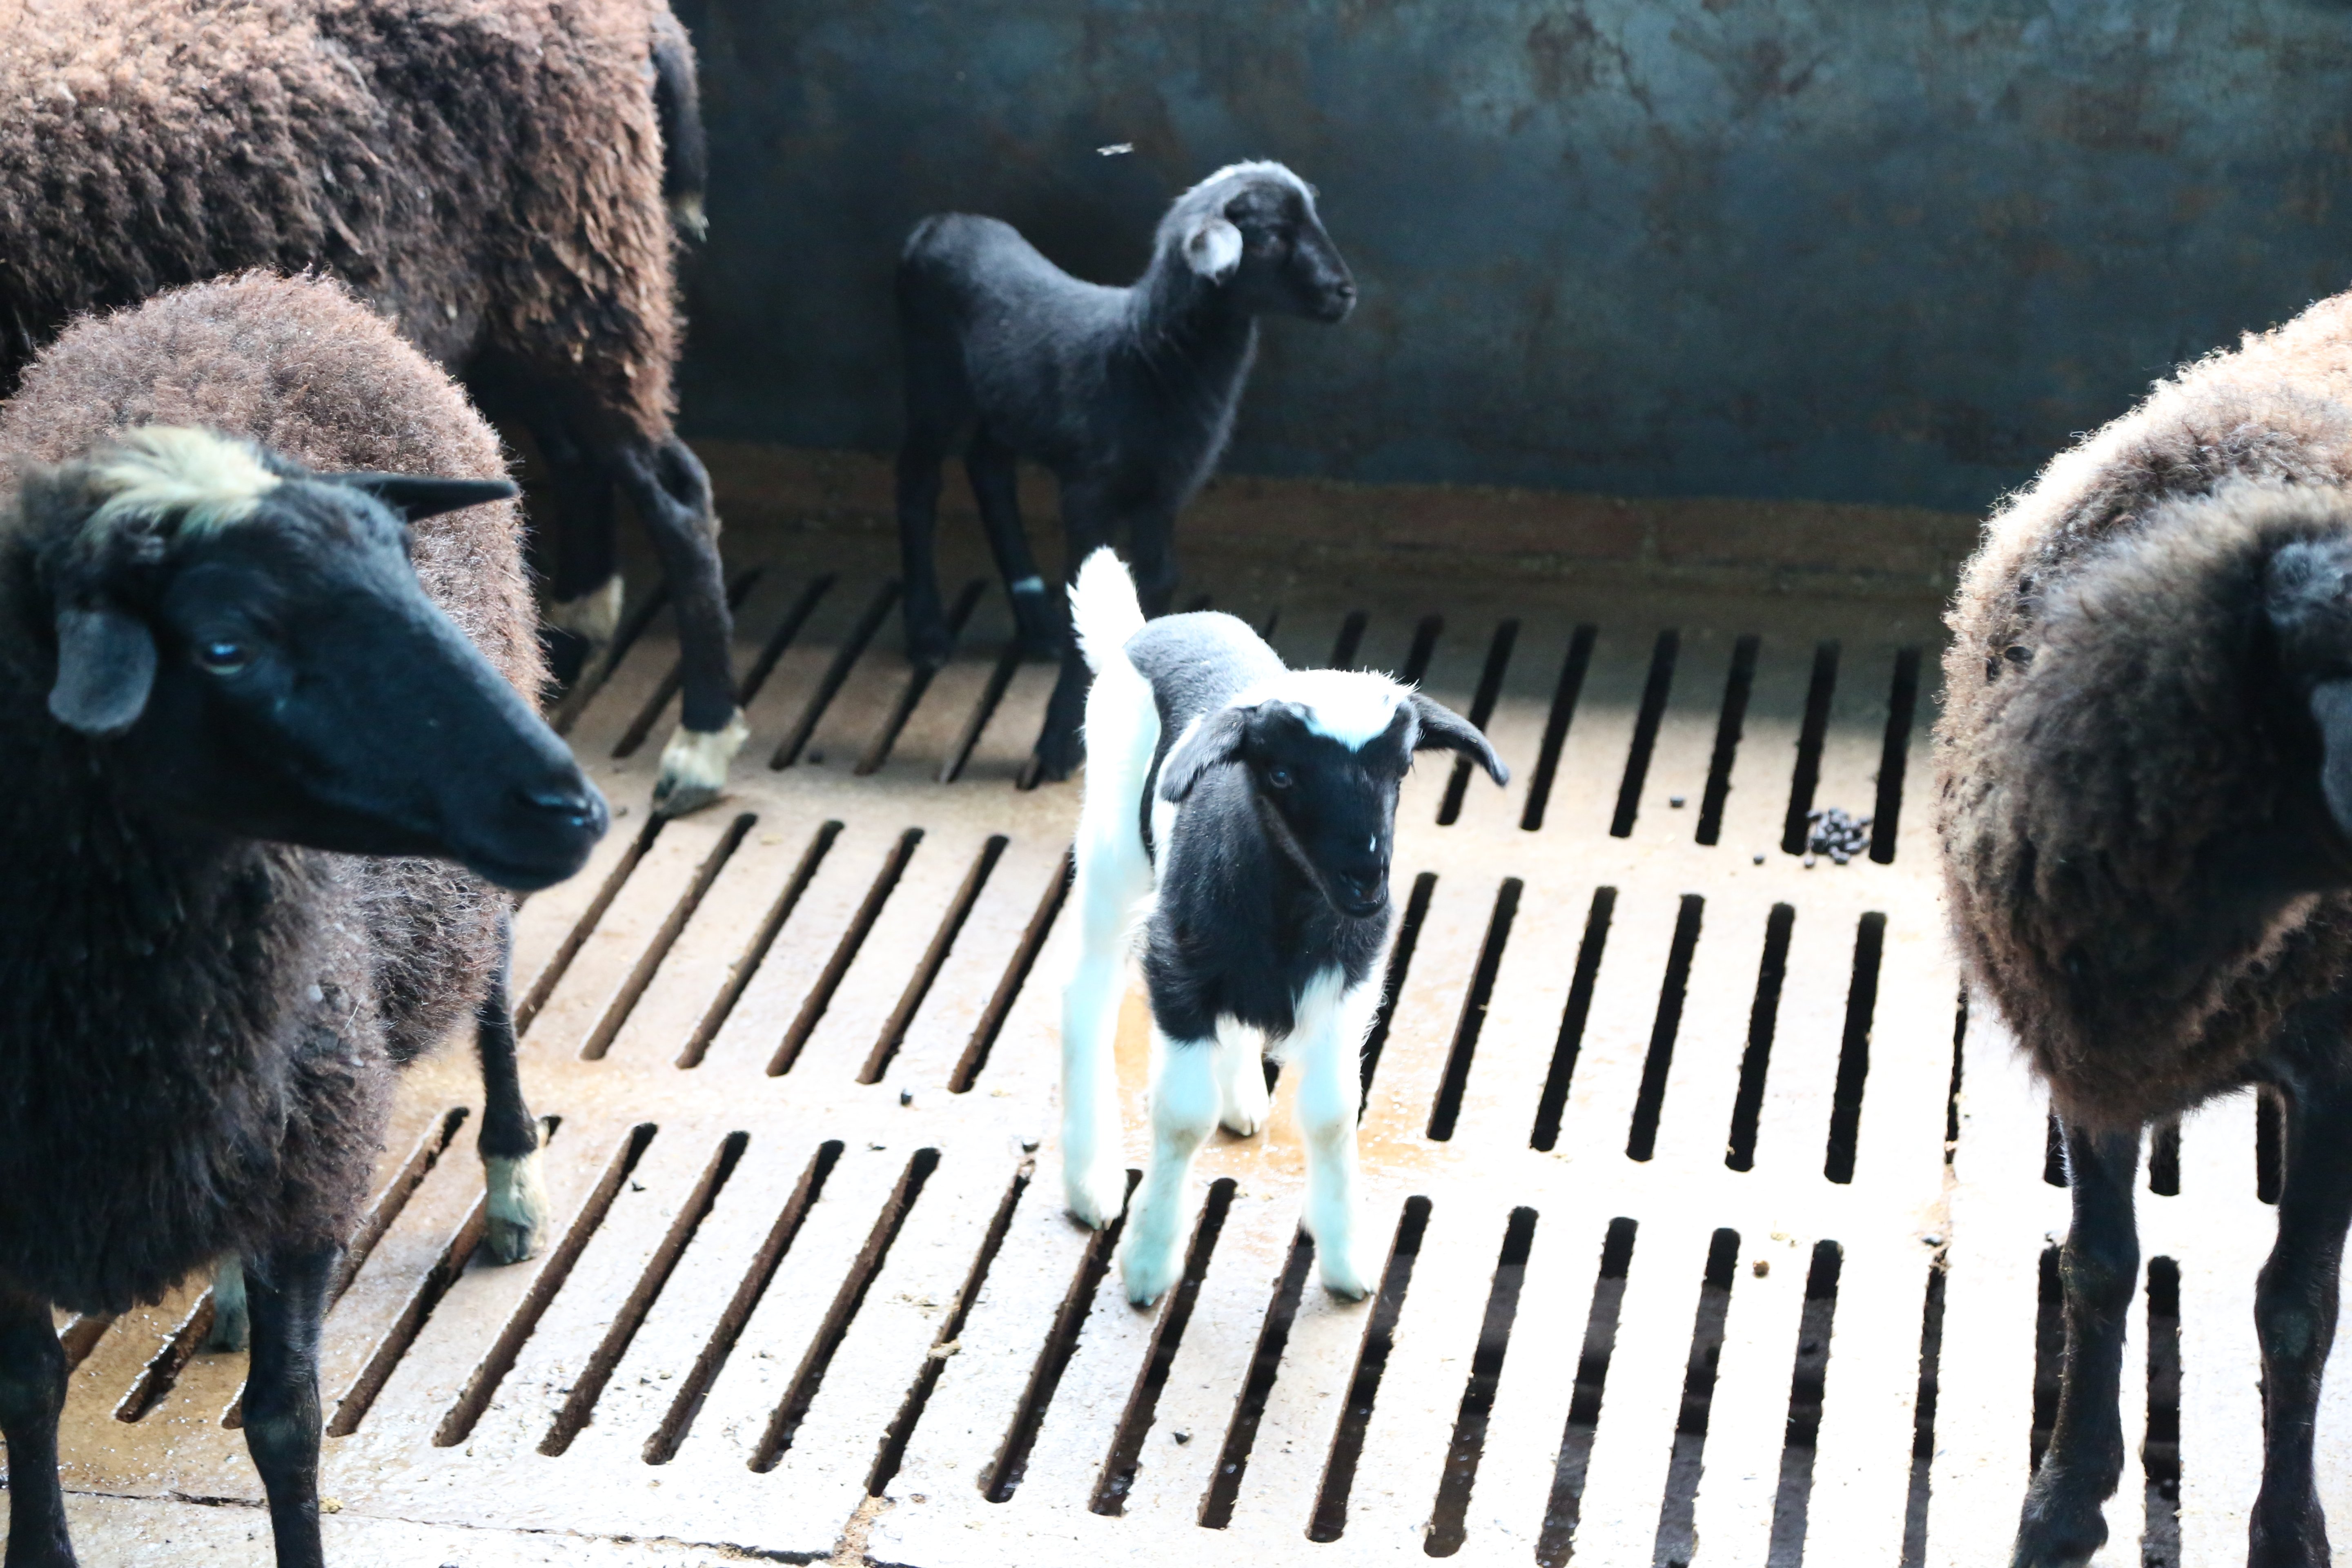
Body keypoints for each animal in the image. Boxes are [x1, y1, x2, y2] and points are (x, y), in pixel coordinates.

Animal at [0, 0, 744, 816]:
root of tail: (638, 20)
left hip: (583, 259)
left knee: (675, 494)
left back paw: (704, 740)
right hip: (519, 300)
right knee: (570, 455)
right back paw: (577, 624)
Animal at [0, 276, 606, 1568]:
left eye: (405, 581)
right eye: (225, 645)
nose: (571, 803)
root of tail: (265, 291)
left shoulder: (314, 1160)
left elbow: (286, 1422)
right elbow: (27, 1389)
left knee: (489, 985)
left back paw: (511, 1181)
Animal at [895, 161, 1356, 781]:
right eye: (1269, 238)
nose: (1344, 292)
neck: (1146, 356)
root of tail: (937, 223)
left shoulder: (1163, 490)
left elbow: (1157, 582)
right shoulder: (1090, 491)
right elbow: (1090, 595)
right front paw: (1059, 740)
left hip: (1006, 405)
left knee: (988, 468)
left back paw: (1035, 620)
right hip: (932, 378)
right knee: (918, 480)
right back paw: (927, 633)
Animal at [1060, 550, 1503, 1305]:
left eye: (1401, 769)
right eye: (1283, 775)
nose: (1367, 883)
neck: (1291, 913)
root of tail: (1150, 629)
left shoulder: (1349, 984)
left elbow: (1331, 1114)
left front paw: (1347, 1258)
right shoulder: (1177, 974)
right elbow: (1181, 1115)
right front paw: (1148, 1261)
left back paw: (1241, 1095)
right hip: (1111, 861)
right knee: (1085, 1004)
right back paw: (1091, 1183)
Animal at [1936, 286, 2352, 1566]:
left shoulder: (2341, 1071)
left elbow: (2294, 1310)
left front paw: (2286, 1528)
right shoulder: (2083, 1049)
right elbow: (2098, 1267)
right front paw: (2064, 1495)